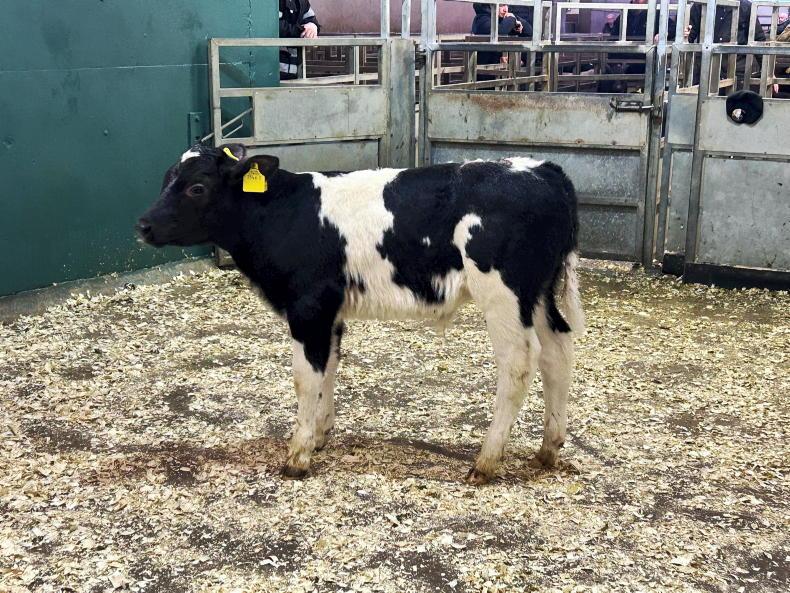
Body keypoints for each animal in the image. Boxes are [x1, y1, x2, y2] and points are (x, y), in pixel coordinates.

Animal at [136, 144, 585, 485]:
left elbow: (305, 377)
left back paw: (486, 461)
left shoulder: (308, 306)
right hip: (539, 295)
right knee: (557, 351)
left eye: (196, 187)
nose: (142, 225)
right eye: (165, 179)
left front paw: (297, 455)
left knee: (518, 363)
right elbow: (330, 368)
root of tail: (543, 169)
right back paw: (548, 448)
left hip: (504, 295)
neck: (285, 214)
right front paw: (319, 435)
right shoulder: (330, 310)